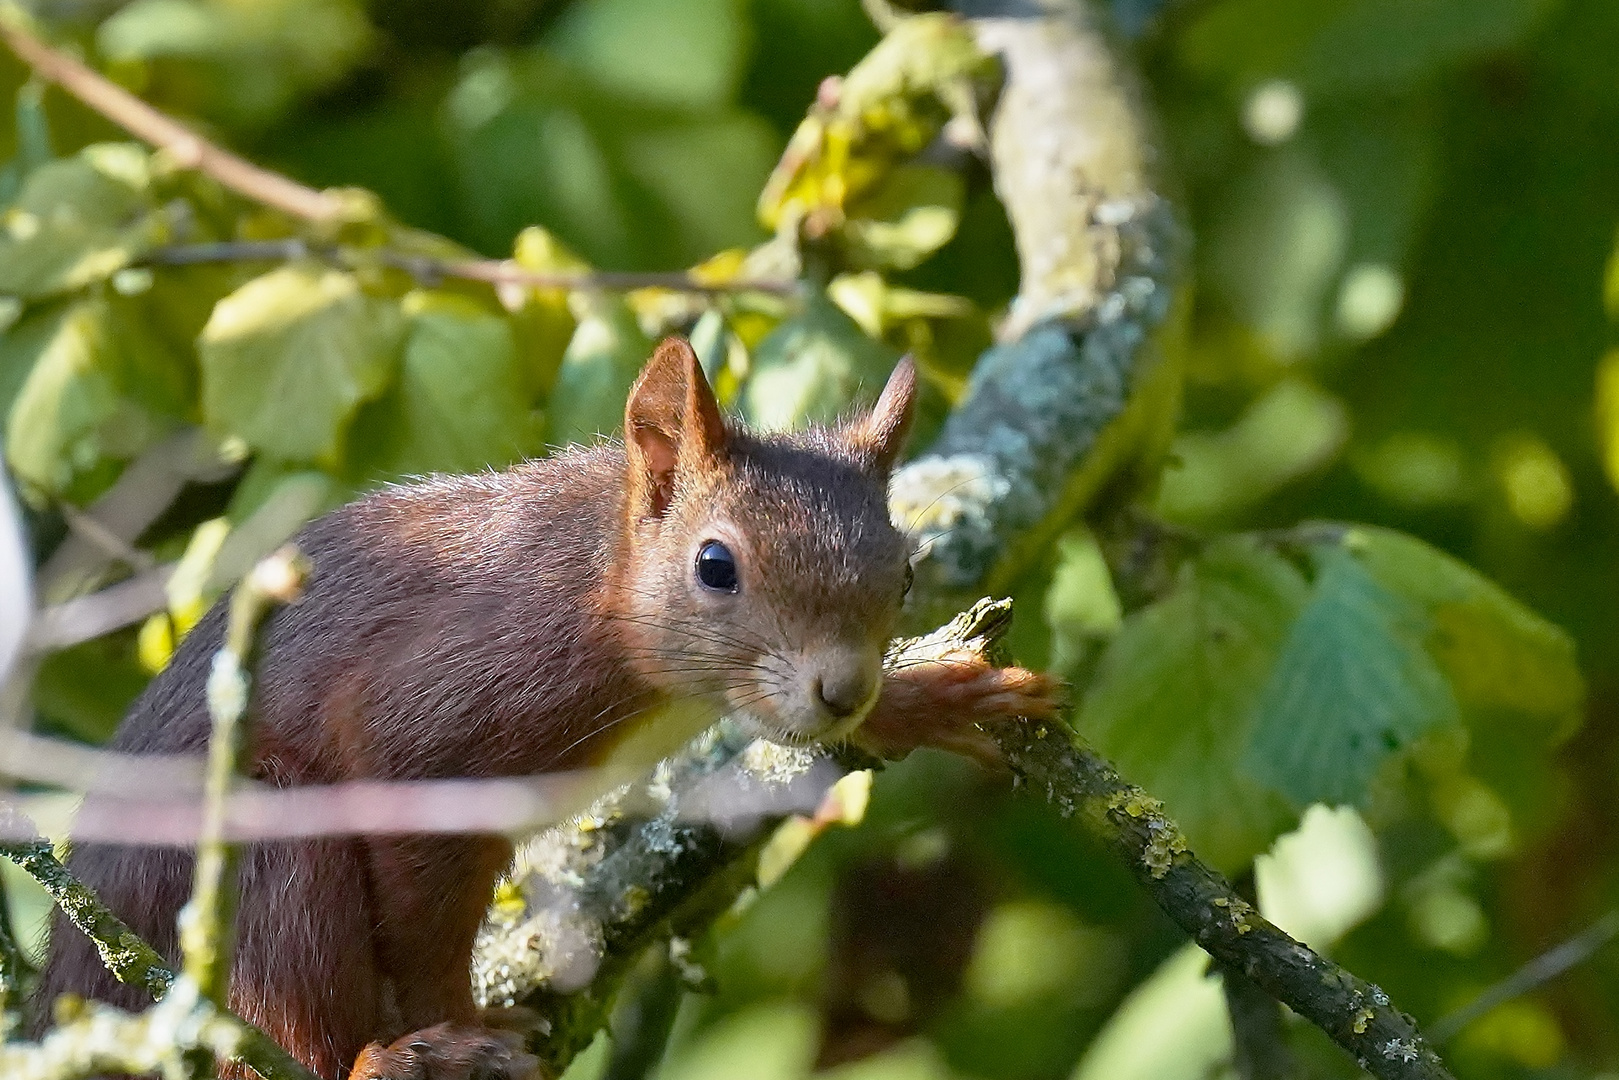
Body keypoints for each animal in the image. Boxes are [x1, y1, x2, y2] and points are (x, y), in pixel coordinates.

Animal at [31, 338, 1062, 1080]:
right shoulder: (441, 705)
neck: (602, 591)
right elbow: (423, 911)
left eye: (907, 571)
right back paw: (379, 1060)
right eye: (714, 565)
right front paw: (456, 1027)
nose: (843, 690)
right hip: (254, 855)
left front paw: (928, 697)